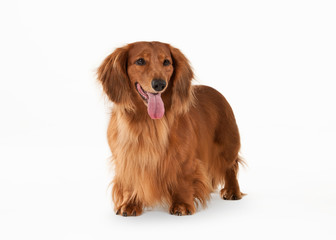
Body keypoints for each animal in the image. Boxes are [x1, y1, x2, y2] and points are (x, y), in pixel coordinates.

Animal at [97, 40, 244, 216]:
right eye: (140, 61)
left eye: (166, 62)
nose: (159, 84)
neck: (148, 122)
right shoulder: (127, 158)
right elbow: (130, 183)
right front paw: (130, 204)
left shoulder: (184, 158)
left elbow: (183, 180)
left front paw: (182, 204)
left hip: (228, 146)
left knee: (231, 168)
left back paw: (232, 191)